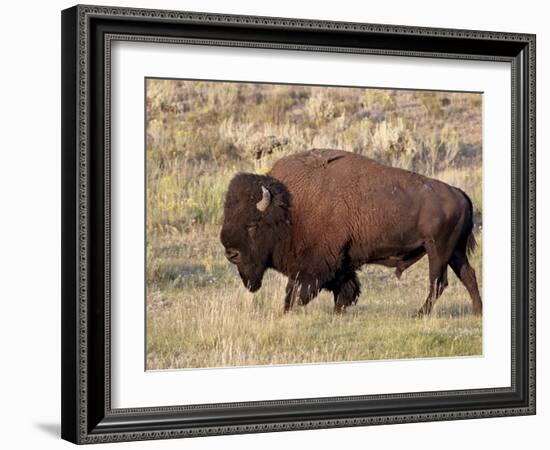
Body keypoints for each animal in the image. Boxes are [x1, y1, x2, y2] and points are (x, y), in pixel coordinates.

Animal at [220, 149, 484, 314]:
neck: (290, 209)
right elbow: (346, 288)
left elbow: (296, 293)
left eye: (253, 224)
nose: (231, 253)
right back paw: (476, 312)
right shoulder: (340, 262)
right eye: (227, 215)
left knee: (438, 282)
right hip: (454, 251)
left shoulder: (316, 264)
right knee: (468, 275)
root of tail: (459, 193)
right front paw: (339, 311)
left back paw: (420, 314)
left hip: (437, 249)